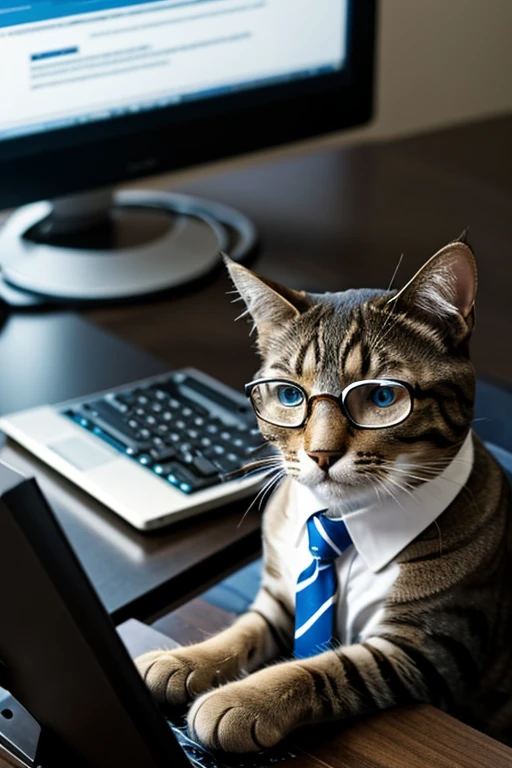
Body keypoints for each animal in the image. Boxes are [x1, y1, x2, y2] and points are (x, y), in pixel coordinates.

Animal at [136, 237, 512, 752]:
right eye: (290, 396)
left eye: (381, 397)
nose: (320, 454)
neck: (340, 519)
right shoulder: (281, 595)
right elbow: (242, 631)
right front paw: (181, 660)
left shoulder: (425, 647)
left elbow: (324, 668)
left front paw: (241, 700)